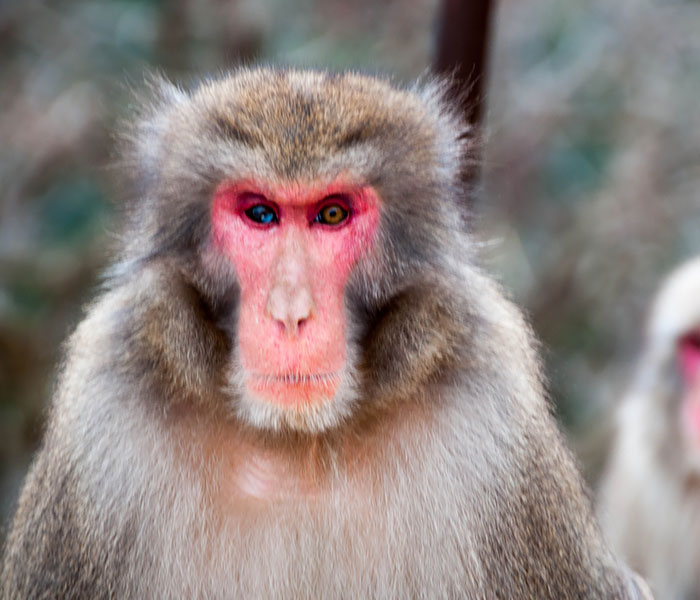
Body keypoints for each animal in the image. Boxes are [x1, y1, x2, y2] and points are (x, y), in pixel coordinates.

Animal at [1, 67, 651, 599]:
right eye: (260, 213)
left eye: (331, 213)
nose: (291, 313)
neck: (301, 445)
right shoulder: (102, 421)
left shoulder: (499, 425)